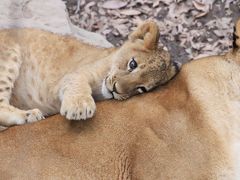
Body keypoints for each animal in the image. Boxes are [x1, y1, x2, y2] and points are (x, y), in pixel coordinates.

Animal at [0, 19, 239, 179]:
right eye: (132, 64)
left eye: (142, 89)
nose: (115, 90)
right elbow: (76, 82)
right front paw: (79, 107)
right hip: (9, 56)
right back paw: (29, 115)